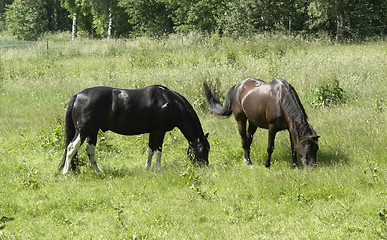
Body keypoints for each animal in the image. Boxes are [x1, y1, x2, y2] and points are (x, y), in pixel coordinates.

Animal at [59, 85, 211, 175]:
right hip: (83, 131)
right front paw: (158, 169)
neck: (168, 102)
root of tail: (77, 96)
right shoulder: (159, 131)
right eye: (204, 149)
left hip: (92, 131)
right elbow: (158, 151)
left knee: (90, 151)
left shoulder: (152, 131)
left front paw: (147, 168)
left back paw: (98, 172)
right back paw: (66, 173)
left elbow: (150, 150)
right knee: (71, 148)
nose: (205, 167)